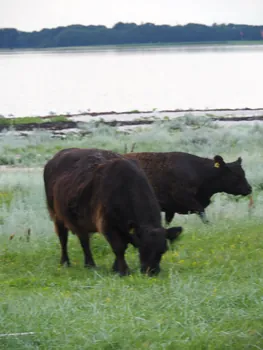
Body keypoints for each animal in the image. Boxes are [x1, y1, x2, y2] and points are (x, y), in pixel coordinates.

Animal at [43, 148, 184, 276]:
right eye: (142, 247)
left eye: (163, 250)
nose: (152, 272)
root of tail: (56, 157)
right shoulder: (107, 225)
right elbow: (119, 247)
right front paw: (123, 270)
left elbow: (123, 246)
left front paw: (115, 268)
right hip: (57, 216)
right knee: (63, 238)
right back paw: (66, 262)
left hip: (81, 222)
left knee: (84, 241)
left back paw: (89, 264)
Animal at [125, 151, 253, 224]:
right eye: (235, 175)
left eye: (243, 173)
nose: (249, 188)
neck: (199, 172)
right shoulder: (185, 199)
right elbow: (202, 213)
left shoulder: (170, 209)